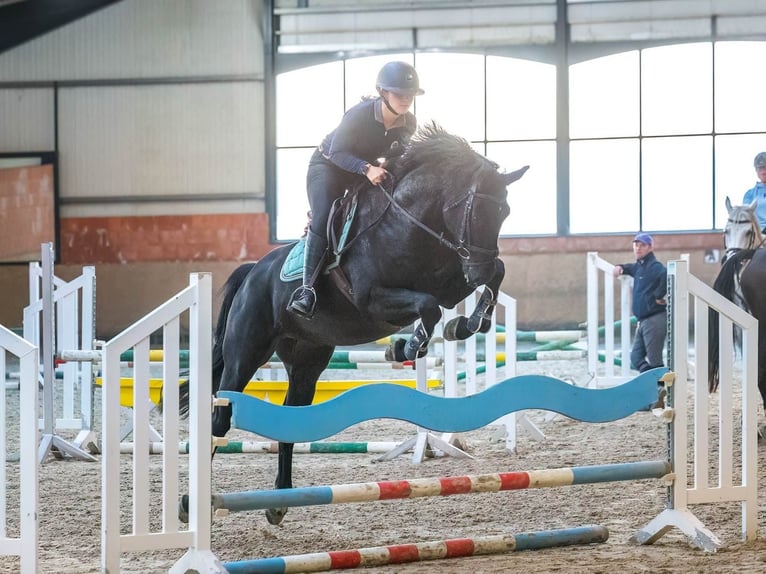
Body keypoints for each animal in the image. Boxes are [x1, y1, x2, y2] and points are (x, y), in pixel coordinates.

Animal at [198, 125, 528, 528]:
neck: (410, 224)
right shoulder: (374, 299)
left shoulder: (450, 283)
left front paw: (467, 323)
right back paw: (191, 503)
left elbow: (489, 278)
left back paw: (278, 502)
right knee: (220, 418)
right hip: (245, 354)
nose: (476, 269)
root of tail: (252, 273)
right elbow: (428, 307)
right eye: (476, 211)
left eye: (505, 212)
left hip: (306, 359)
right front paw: (408, 346)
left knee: (289, 422)